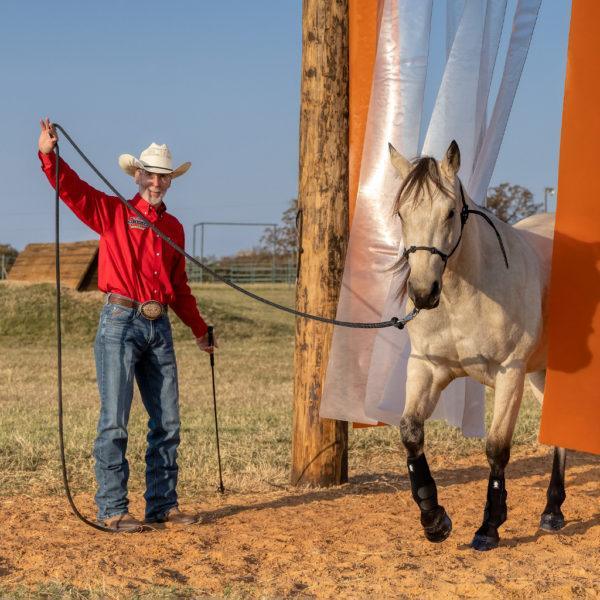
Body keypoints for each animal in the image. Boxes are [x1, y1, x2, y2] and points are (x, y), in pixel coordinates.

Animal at [388, 140, 566, 551]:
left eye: (450, 212)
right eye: (402, 213)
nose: (422, 293)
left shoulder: (510, 373)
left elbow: (497, 447)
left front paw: (489, 526)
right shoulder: (427, 367)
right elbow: (410, 432)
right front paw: (434, 519)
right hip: (542, 374)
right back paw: (552, 510)